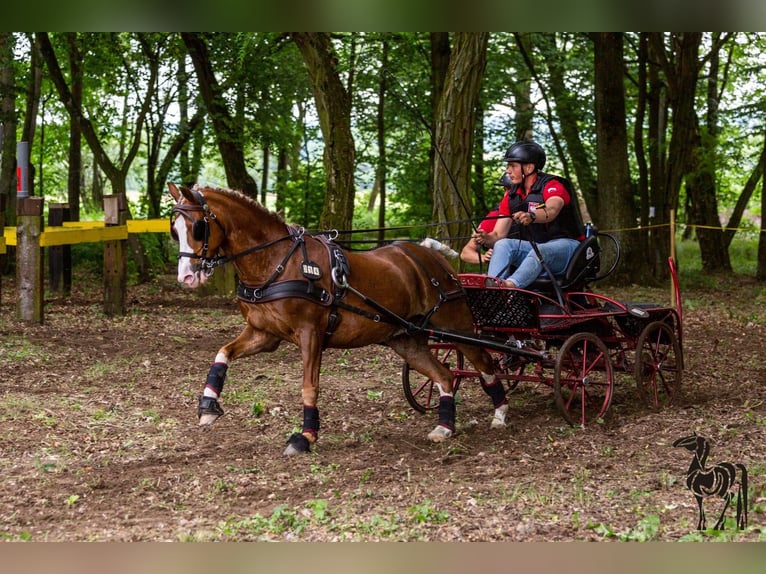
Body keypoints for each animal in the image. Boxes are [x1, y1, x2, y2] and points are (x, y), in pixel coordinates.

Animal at [169, 183, 508, 454]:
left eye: (198, 227)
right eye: (175, 231)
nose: (186, 277)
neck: (278, 262)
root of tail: (432, 255)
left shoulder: (311, 334)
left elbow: (309, 386)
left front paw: (305, 436)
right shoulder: (264, 334)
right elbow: (222, 353)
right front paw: (208, 405)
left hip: (455, 326)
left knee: (485, 364)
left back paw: (500, 414)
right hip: (406, 339)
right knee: (444, 375)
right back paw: (445, 426)